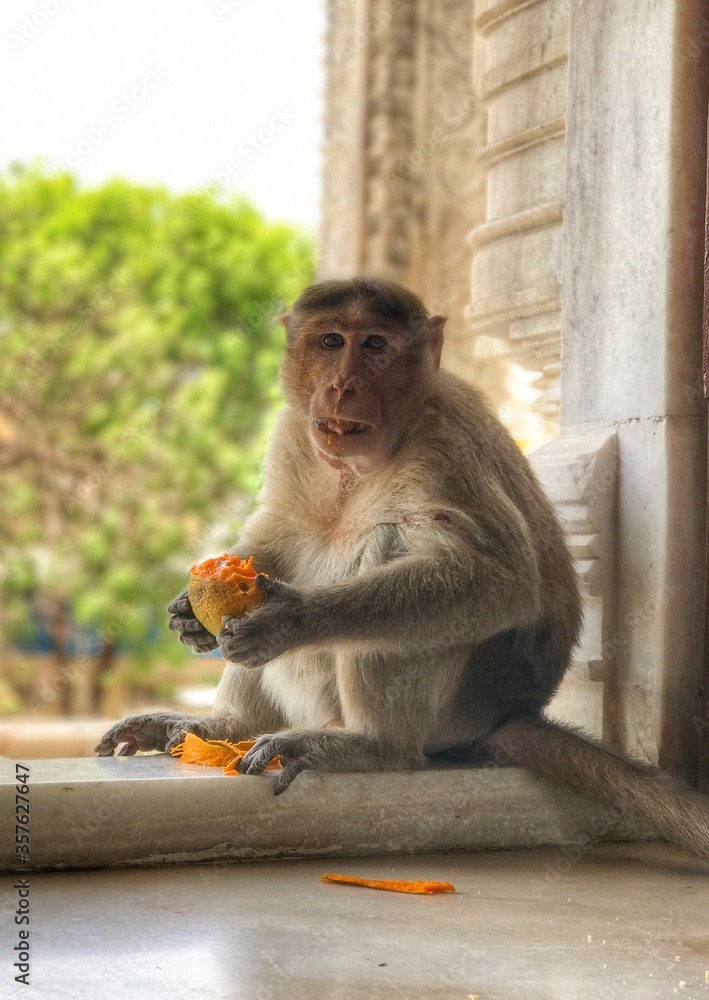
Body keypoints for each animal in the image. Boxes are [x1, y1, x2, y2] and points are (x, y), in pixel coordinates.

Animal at [96, 276, 709, 862]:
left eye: (375, 344)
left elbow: (500, 578)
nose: (343, 385)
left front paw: (291, 620)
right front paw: (191, 615)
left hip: (456, 710)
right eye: (330, 341)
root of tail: (510, 714)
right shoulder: (295, 431)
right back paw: (225, 728)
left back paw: (371, 745)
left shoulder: (444, 446)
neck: (359, 464)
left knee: (393, 547)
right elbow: (277, 535)